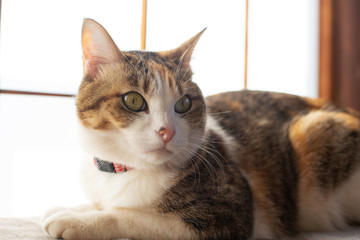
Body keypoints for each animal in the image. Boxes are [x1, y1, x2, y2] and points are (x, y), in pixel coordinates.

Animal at [40, 19, 360, 240]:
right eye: (133, 100)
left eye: (183, 104)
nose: (166, 131)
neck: (125, 171)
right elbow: (97, 204)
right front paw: (69, 208)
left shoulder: (228, 214)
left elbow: (129, 217)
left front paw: (74, 220)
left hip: (316, 131)